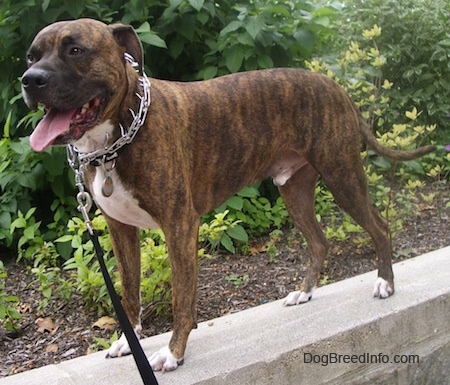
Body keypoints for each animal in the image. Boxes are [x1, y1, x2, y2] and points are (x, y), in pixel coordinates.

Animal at [22, 18, 436, 372]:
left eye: (76, 50)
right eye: (31, 56)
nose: (29, 80)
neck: (120, 135)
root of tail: (335, 86)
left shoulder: (179, 226)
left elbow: (181, 297)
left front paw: (173, 353)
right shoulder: (121, 230)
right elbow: (130, 291)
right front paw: (129, 342)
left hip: (343, 176)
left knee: (379, 226)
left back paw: (385, 283)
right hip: (295, 191)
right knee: (319, 242)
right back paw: (304, 293)